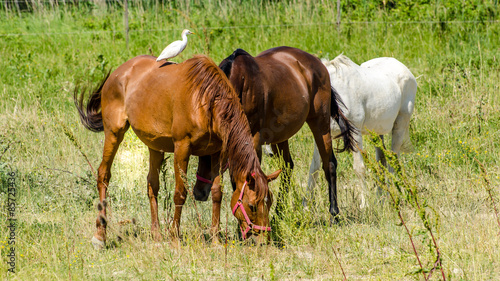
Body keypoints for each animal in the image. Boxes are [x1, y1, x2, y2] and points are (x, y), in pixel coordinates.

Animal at [76, 54, 284, 247]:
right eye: (252, 206)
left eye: (270, 202)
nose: (263, 240)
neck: (205, 101)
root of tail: (119, 72)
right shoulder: (182, 148)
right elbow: (180, 193)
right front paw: (175, 237)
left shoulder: (217, 152)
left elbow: (217, 193)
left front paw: (216, 239)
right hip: (114, 132)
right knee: (104, 175)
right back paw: (100, 235)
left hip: (154, 145)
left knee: (152, 185)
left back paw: (156, 235)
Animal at [193, 46, 358, 222]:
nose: (199, 192)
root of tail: (319, 64)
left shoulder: (252, 141)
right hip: (280, 137)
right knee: (287, 166)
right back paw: (279, 213)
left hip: (321, 125)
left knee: (330, 164)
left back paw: (334, 213)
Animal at [304, 54, 418, 208]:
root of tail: (407, 71)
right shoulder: (322, 136)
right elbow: (314, 168)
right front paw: (305, 205)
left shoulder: (355, 133)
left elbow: (359, 168)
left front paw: (364, 205)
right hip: (377, 132)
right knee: (382, 160)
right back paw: (380, 199)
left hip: (400, 125)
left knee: (393, 159)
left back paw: (390, 197)